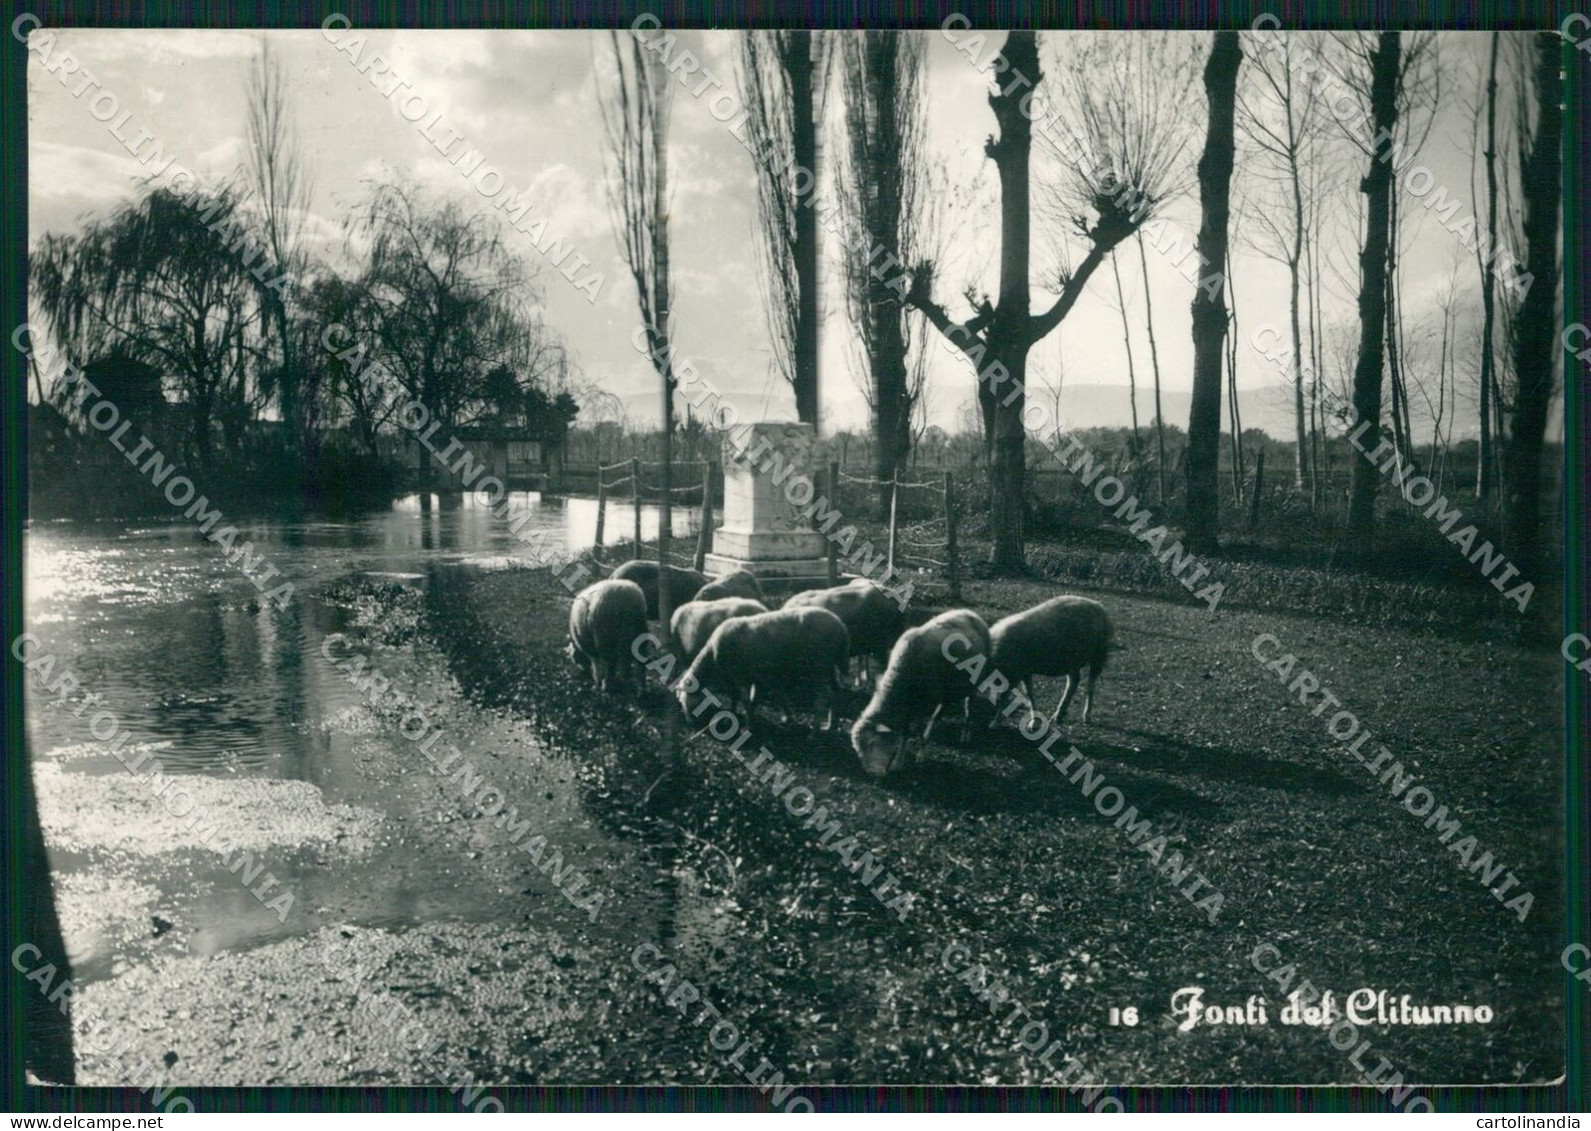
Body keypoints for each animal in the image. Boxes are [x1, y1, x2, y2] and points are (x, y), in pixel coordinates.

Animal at [677, 607, 852, 728]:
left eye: (685, 702)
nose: (690, 724)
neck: (712, 656)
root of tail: (841, 627)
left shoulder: (741, 677)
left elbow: (745, 699)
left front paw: (749, 724)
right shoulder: (761, 676)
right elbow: (757, 697)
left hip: (819, 665)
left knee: (823, 696)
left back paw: (815, 730)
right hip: (829, 666)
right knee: (837, 692)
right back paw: (832, 725)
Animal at [852, 610, 986, 779]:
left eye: (871, 744)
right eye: (858, 750)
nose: (872, 773)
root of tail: (970, 612)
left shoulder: (931, 701)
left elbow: (921, 730)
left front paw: (912, 758)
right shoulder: (909, 707)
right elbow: (905, 732)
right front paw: (899, 761)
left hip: (973, 681)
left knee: (968, 705)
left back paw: (965, 734)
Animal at [986, 591, 1113, 725]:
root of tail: (1099, 606)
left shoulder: (1014, 673)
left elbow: (1005, 697)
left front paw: (995, 722)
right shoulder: (1024, 671)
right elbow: (1029, 694)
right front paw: (1033, 722)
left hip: (1099, 656)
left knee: (1090, 685)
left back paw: (1086, 716)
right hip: (1072, 661)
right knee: (1073, 682)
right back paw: (1058, 715)